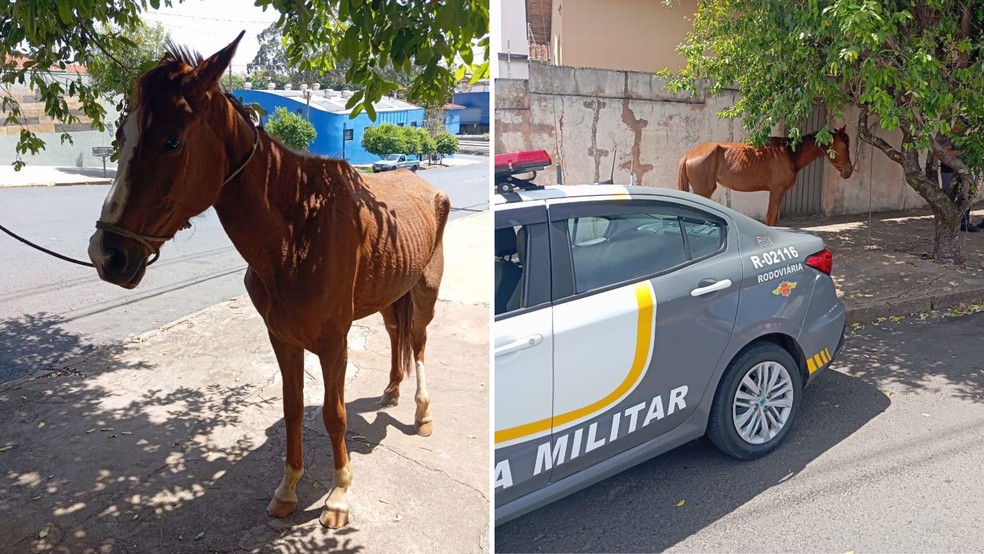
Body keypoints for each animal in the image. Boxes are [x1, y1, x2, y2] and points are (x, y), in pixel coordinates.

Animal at [86, 32, 450, 529]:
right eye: (120, 137)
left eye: (172, 141)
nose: (107, 254)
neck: (299, 231)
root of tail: (426, 188)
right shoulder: (282, 336)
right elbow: (293, 410)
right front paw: (288, 488)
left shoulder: (333, 342)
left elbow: (334, 415)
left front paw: (338, 496)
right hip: (390, 290)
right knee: (397, 333)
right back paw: (393, 390)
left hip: (425, 290)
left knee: (418, 341)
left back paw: (422, 413)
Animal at [678, 126, 854, 226]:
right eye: (845, 146)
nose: (849, 171)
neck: (789, 154)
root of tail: (689, 155)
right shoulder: (777, 190)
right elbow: (771, 218)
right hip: (703, 190)